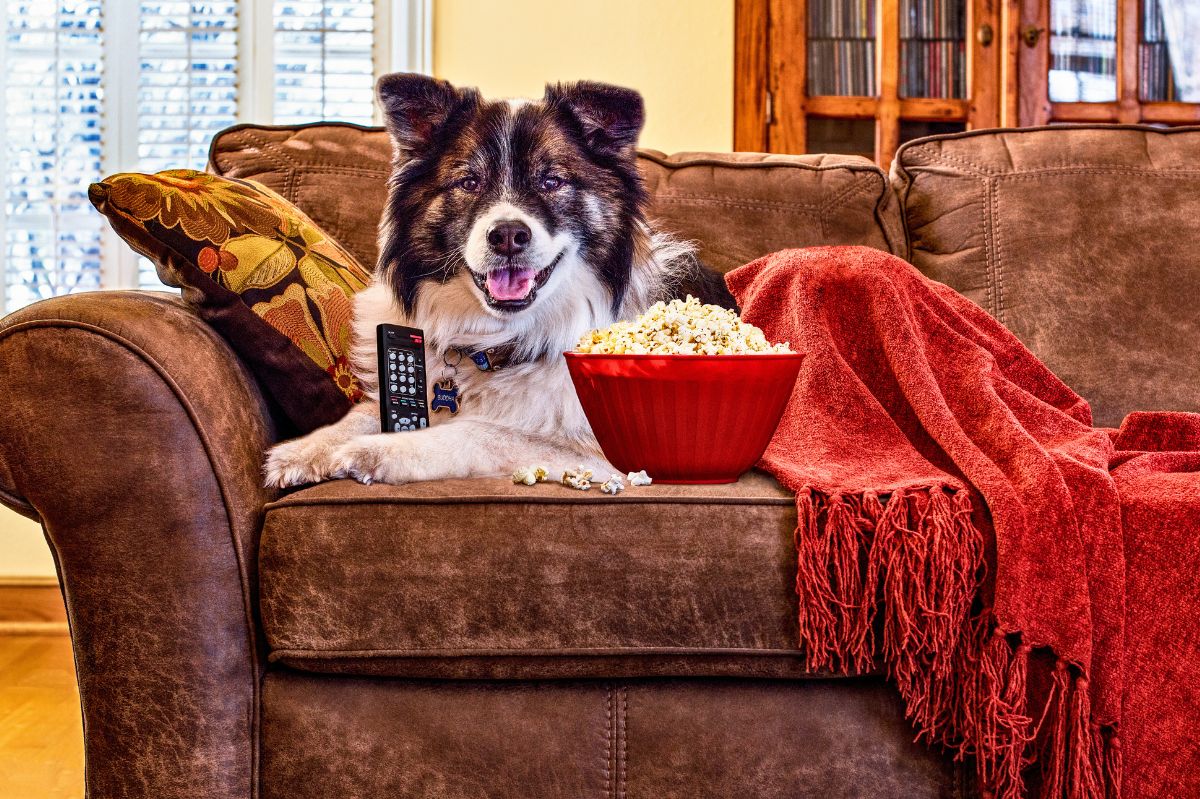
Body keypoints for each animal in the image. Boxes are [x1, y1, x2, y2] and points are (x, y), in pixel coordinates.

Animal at [262, 73, 729, 484]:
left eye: (551, 180)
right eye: (469, 181)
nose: (507, 235)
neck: (499, 342)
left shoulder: (605, 453)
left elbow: (481, 430)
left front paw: (378, 451)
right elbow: (365, 412)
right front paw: (306, 449)